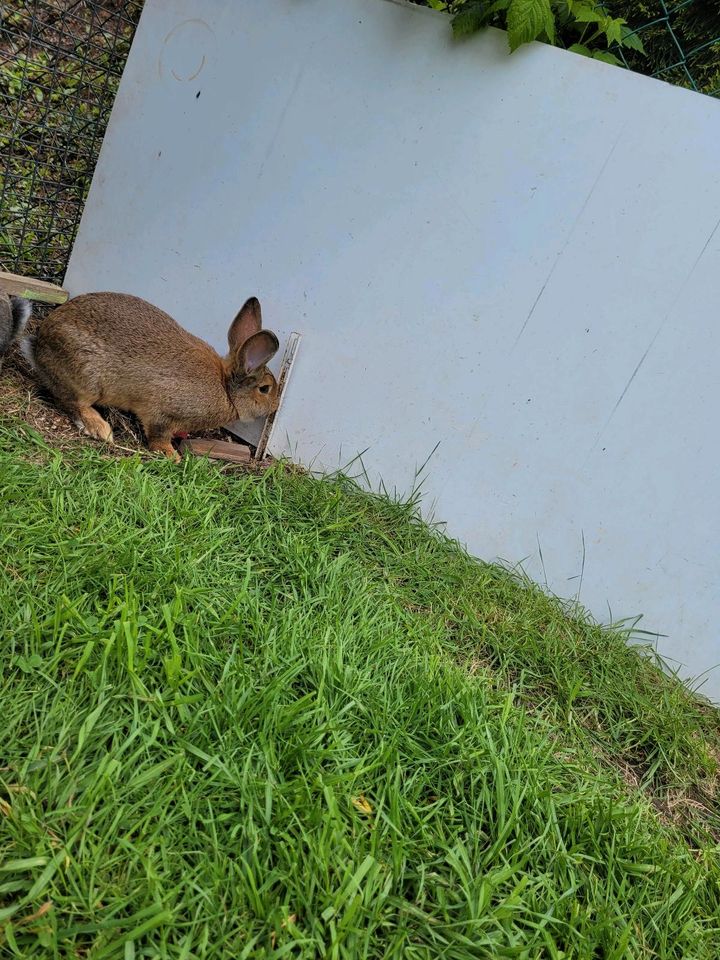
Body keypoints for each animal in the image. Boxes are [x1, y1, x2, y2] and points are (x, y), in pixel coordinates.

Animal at [21, 290, 280, 460]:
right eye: (265, 389)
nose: (276, 406)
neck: (225, 388)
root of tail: (38, 347)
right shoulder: (163, 412)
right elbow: (158, 433)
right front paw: (170, 454)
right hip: (88, 377)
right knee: (70, 401)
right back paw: (100, 428)